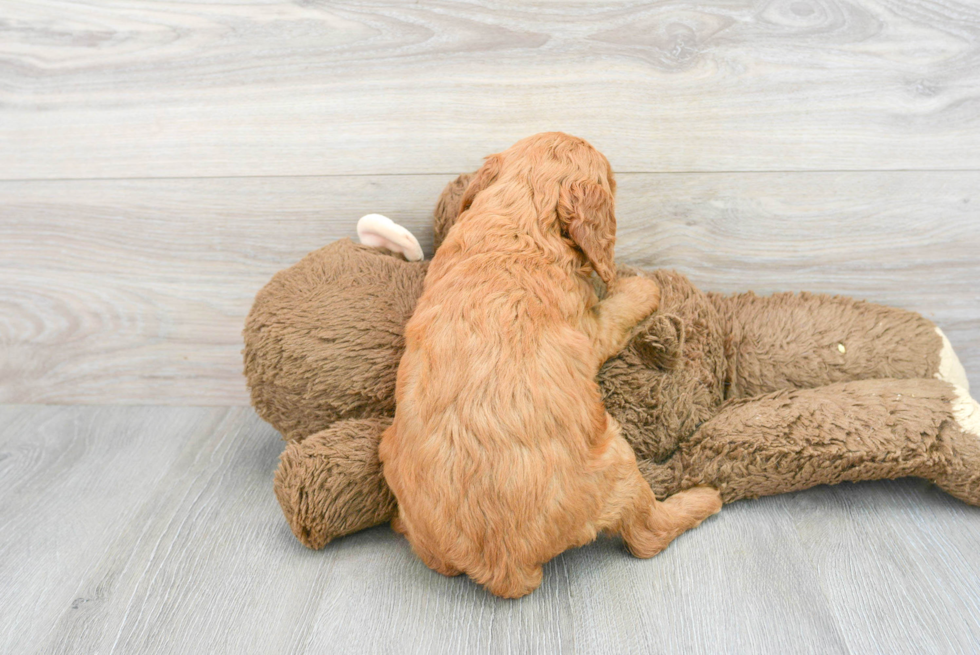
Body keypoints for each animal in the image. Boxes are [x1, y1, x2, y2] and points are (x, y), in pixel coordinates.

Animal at [378, 133, 724, 600]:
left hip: (392, 457)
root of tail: (504, 566)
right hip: (618, 461)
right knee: (646, 536)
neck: (516, 224)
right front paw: (642, 285)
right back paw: (705, 497)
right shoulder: (591, 330)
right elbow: (619, 306)